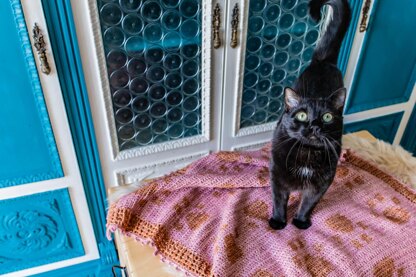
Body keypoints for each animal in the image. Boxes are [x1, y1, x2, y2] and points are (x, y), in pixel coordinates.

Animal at [270, 0, 352, 229]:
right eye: (302, 116)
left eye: (327, 117)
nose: (314, 126)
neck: (307, 152)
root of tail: (324, 61)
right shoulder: (278, 177)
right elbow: (279, 200)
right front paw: (278, 221)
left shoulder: (322, 182)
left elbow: (308, 203)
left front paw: (300, 221)